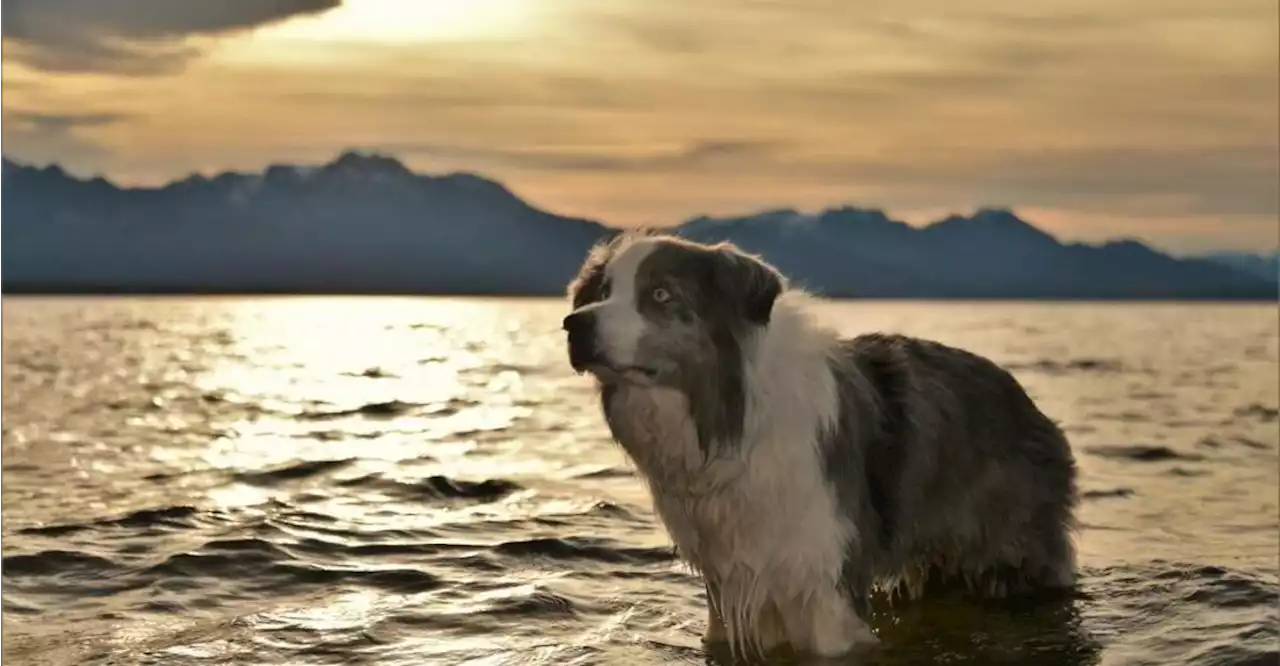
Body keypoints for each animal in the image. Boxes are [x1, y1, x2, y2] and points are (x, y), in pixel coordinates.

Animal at [565, 234, 1075, 660]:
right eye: (602, 291)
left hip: (1015, 554)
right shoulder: (729, 582)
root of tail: (1028, 402)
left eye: (660, 295)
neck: (730, 419)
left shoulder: (825, 581)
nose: (573, 324)